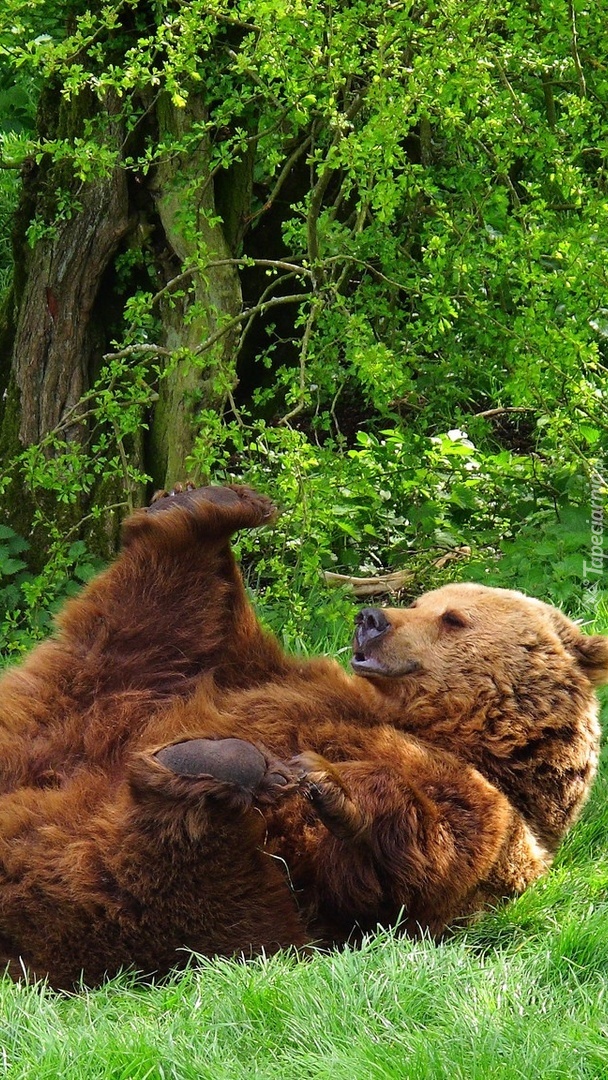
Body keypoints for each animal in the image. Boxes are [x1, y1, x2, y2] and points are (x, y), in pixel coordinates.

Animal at [0, 486, 604, 989]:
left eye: (452, 618)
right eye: (421, 601)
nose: (371, 617)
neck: (444, 727)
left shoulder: (488, 819)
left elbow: (415, 860)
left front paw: (329, 781)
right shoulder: (276, 677)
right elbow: (231, 650)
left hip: (198, 901)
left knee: (147, 871)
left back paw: (211, 766)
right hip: (89, 706)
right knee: (146, 625)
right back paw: (198, 510)